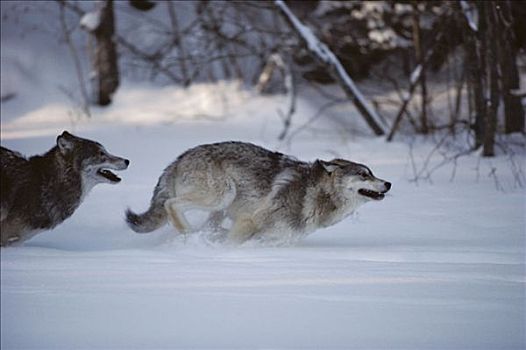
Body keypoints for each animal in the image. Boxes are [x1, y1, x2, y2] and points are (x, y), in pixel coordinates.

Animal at [127, 141, 392, 245]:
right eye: (364, 174)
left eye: (372, 173)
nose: (389, 183)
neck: (315, 194)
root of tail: (179, 158)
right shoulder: (248, 221)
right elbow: (231, 244)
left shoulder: (273, 238)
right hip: (222, 195)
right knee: (171, 204)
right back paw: (188, 236)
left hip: (220, 209)